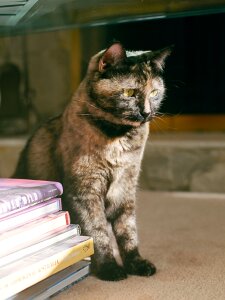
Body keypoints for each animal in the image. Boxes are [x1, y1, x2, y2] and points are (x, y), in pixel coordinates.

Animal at [13, 42, 171, 282]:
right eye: (130, 92)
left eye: (154, 92)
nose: (146, 112)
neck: (117, 139)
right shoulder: (85, 192)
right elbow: (98, 233)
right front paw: (109, 268)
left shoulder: (126, 187)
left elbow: (129, 232)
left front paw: (137, 263)